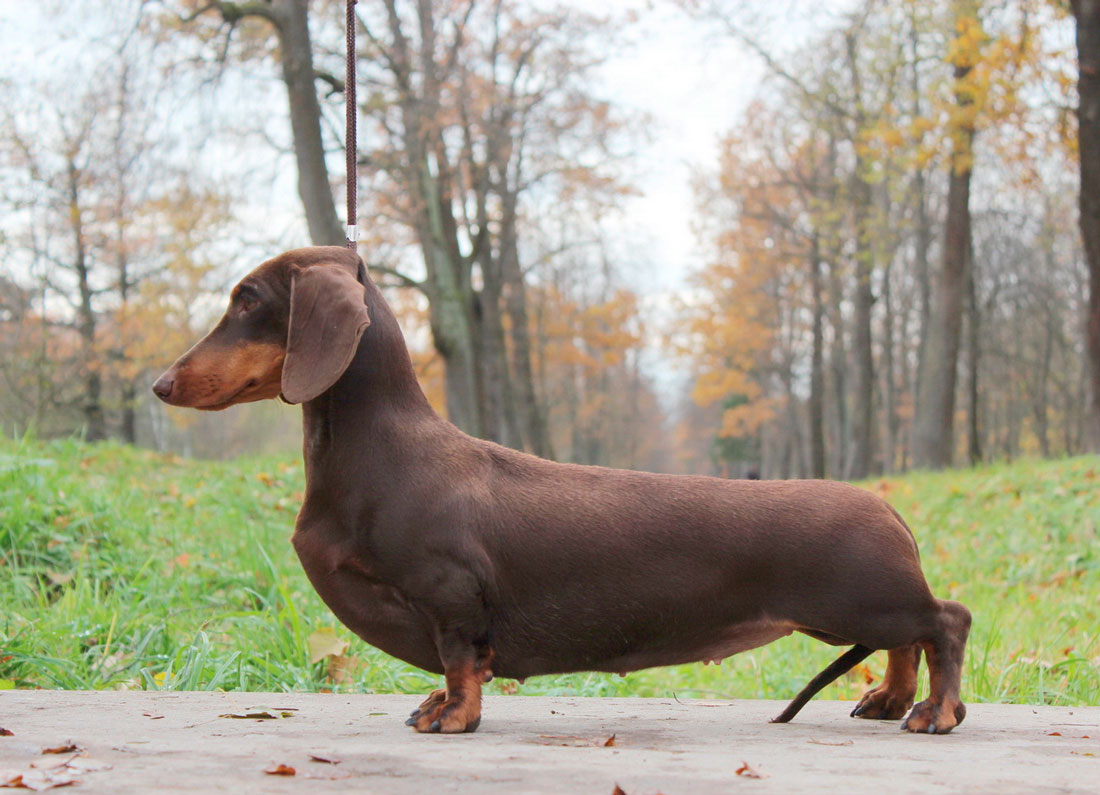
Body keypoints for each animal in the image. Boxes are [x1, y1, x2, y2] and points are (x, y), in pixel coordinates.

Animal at [152, 245, 972, 738]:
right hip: (863, 610)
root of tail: (886, 505)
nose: (159, 384)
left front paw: (454, 715)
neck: (377, 453)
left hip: (862, 602)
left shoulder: (450, 595)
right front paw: (436, 705)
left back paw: (934, 711)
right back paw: (889, 699)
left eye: (247, 299)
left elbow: (460, 660)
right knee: (912, 640)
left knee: (945, 622)